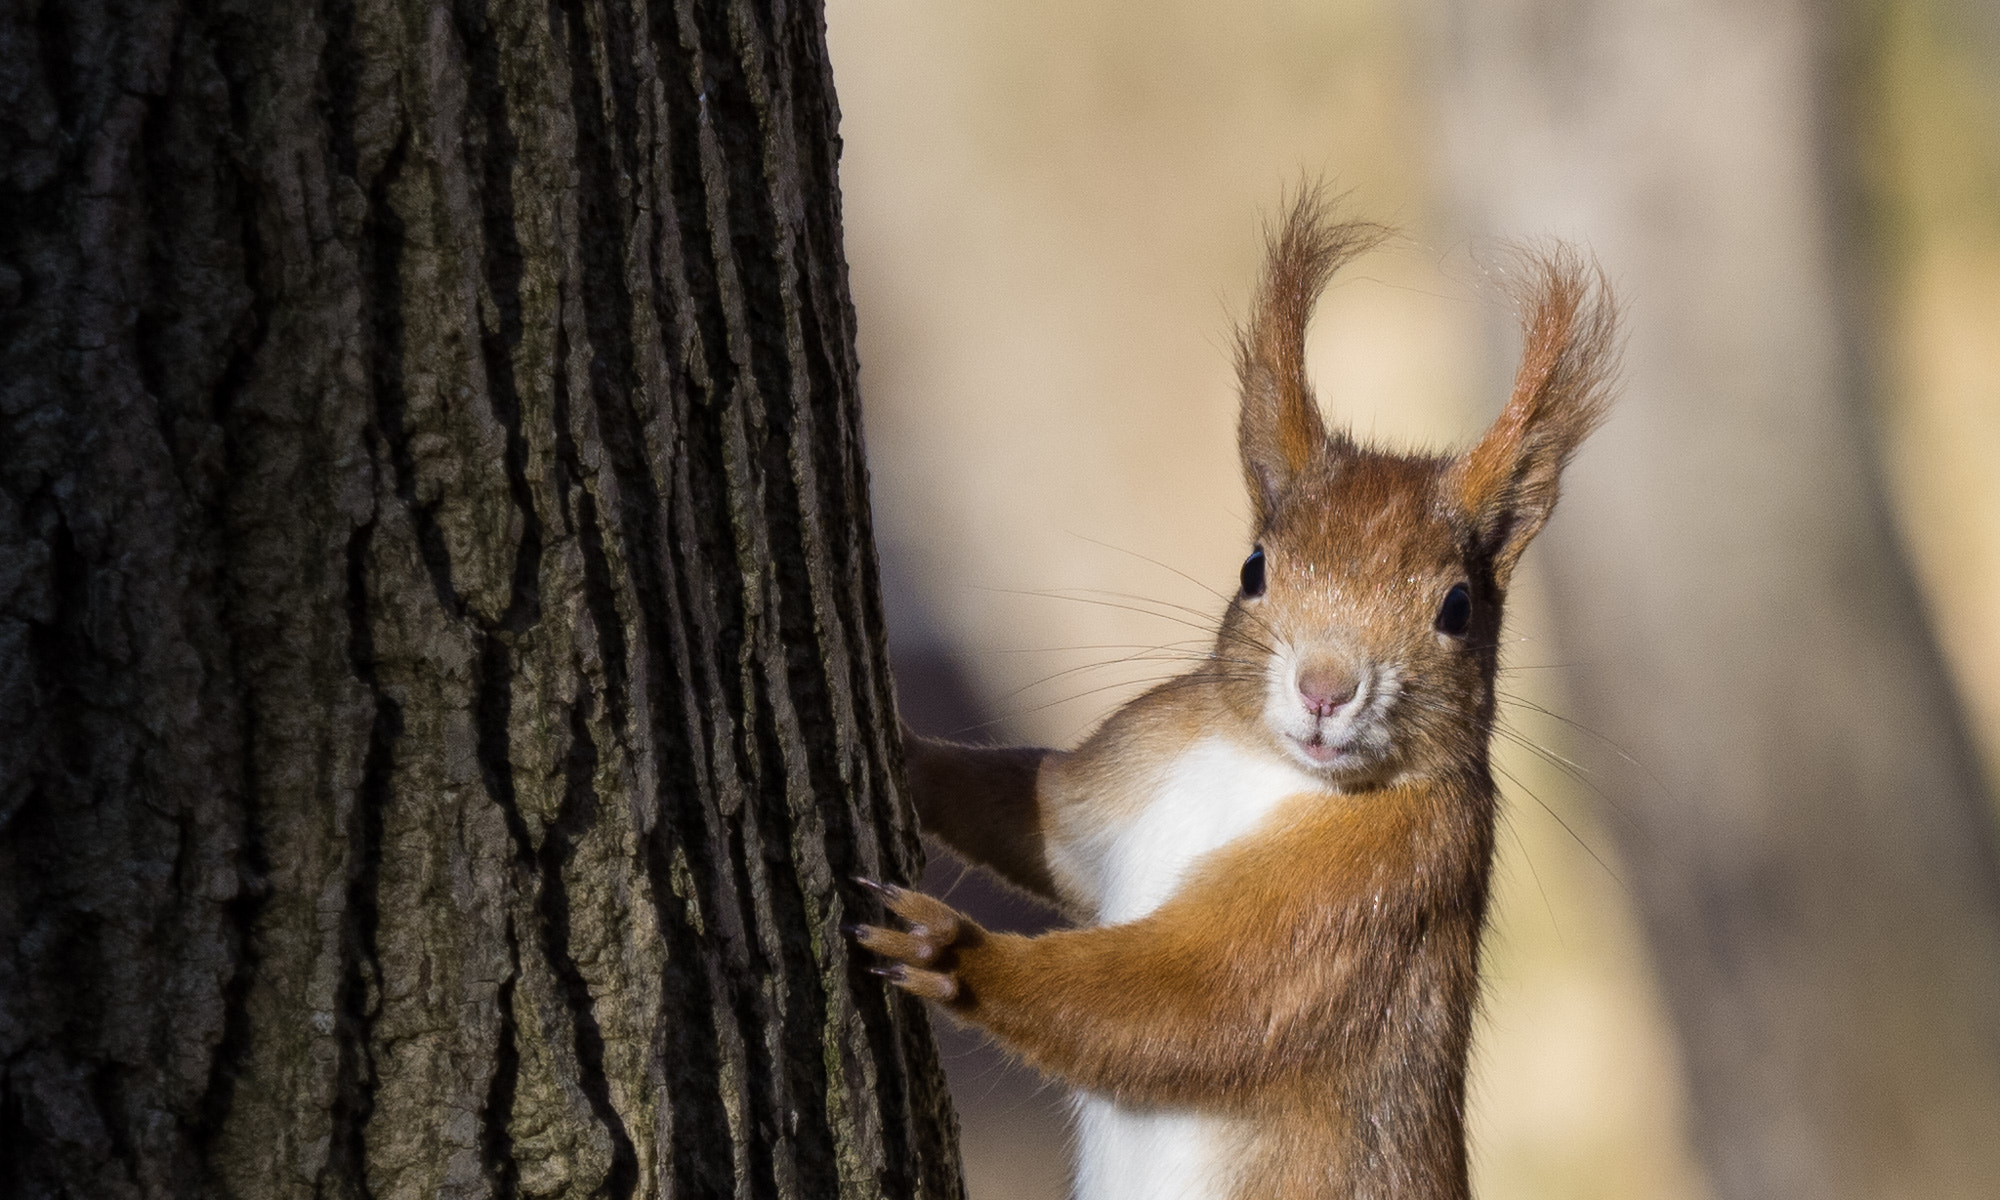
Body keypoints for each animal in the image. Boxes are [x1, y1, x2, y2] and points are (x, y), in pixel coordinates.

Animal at [852, 192, 1616, 1200]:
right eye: (1255, 567)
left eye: (1457, 608)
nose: (1326, 686)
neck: (1260, 767)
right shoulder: (1133, 761)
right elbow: (1041, 817)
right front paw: (907, 751)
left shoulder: (1369, 900)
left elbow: (1190, 1003)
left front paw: (953, 954)